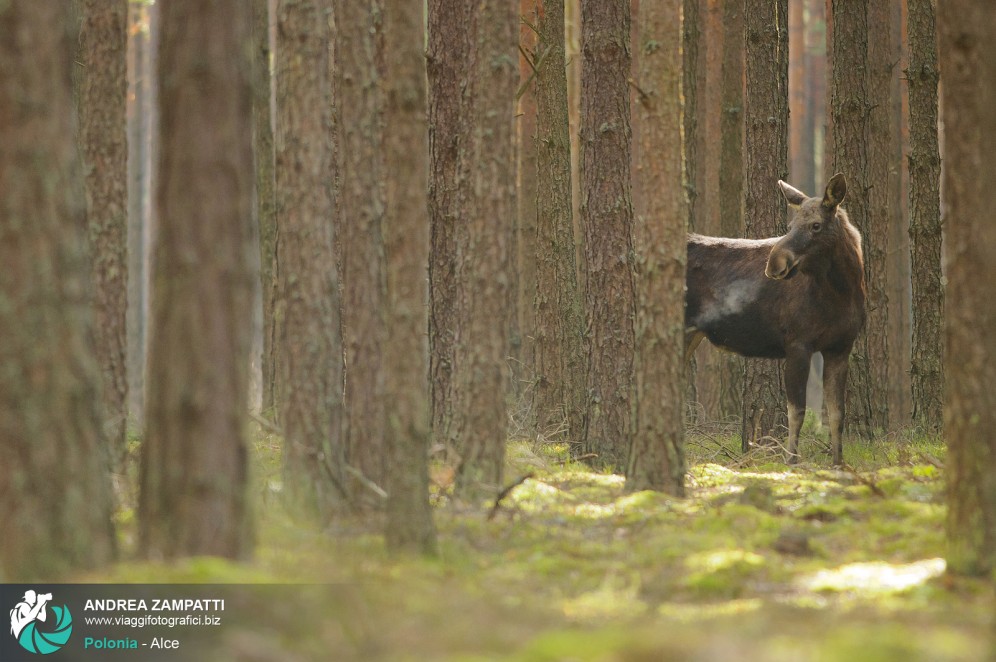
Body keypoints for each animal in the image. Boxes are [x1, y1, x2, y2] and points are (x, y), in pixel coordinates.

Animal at [684, 176, 864, 466]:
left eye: (816, 225)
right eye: (790, 226)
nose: (774, 264)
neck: (843, 292)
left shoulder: (841, 347)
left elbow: (837, 412)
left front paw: (838, 463)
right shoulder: (798, 343)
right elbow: (797, 410)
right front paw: (791, 460)